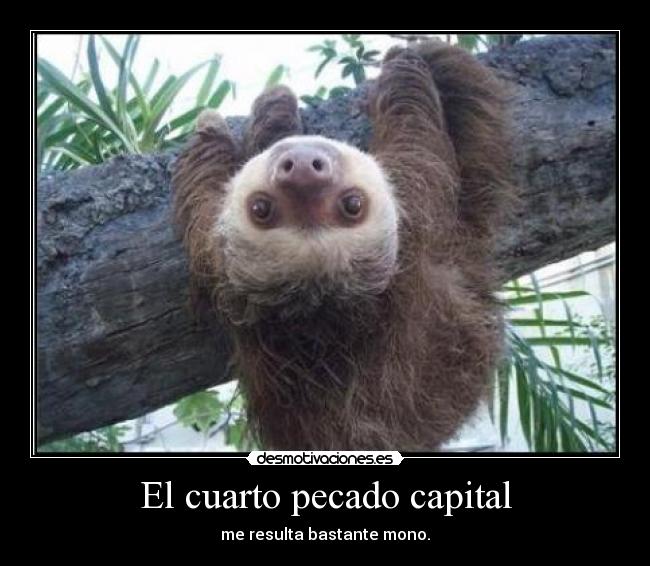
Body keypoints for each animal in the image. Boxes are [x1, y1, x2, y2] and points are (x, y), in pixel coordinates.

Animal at [171, 41, 513, 451]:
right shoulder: (416, 205)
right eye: (261, 209)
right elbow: (417, 133)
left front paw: (274, 111)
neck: (328, 324)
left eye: (352, 205)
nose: (302, 165)